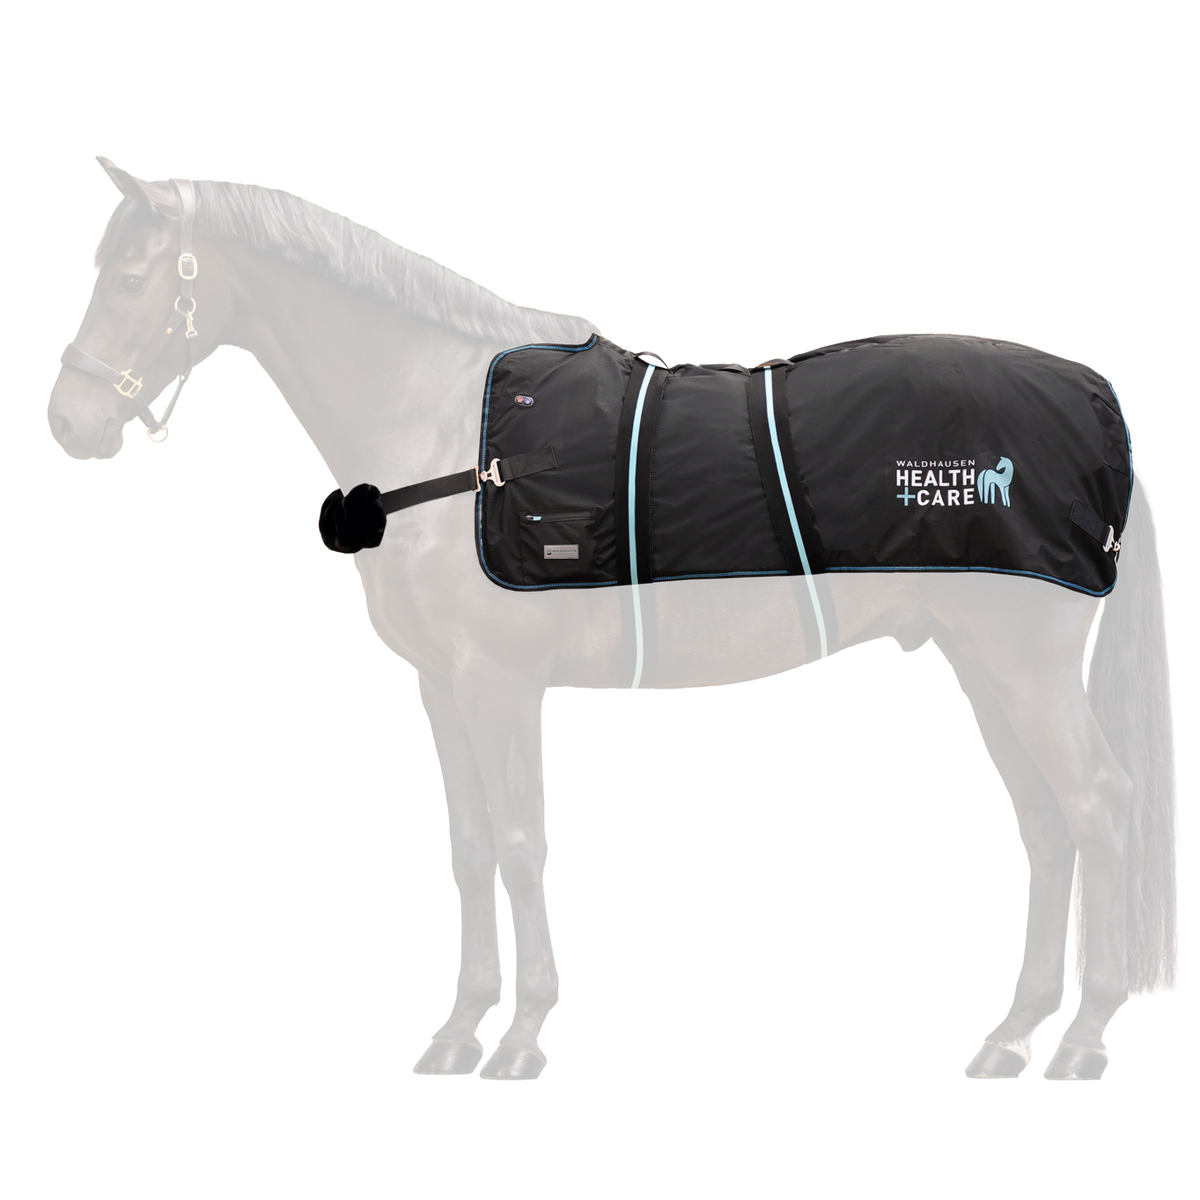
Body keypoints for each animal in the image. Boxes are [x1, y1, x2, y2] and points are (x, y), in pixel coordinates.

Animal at [45, 156, 1180, 1084]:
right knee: (1044, 826)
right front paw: (457, 1029)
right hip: (975, 658)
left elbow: (519, 841)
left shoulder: (500, 678)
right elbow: (466, 849)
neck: (450, 424)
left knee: (1100, 807)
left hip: (1026, 661)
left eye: (131, 278)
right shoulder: (438, 683)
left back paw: (1083, 1037)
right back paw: (1011, 1034)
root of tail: (1103, 406)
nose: (69, 419)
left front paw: (521, 1035)